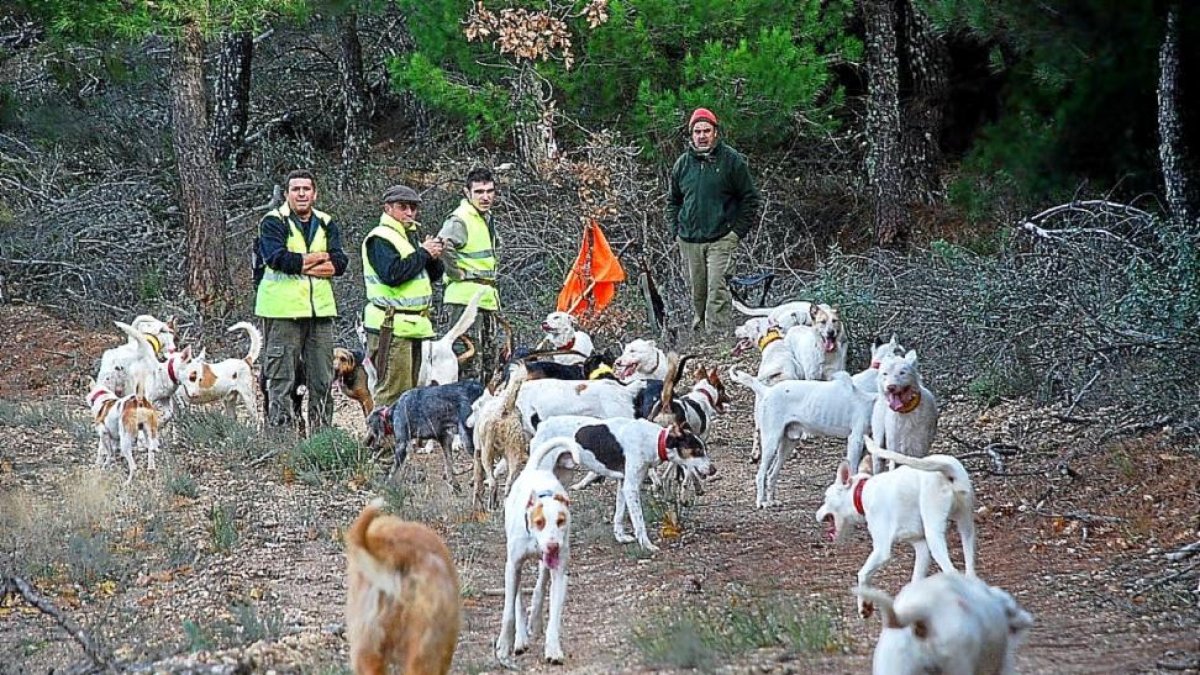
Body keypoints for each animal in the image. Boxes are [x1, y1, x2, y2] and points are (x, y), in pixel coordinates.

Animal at [496, 437, 585, 662]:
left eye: (561, 521)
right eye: (539, 522)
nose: (553, 545)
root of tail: (535, 470)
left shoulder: (559, 572)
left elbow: (554, 614)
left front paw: (553, 649)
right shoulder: (513, 566)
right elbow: (509, 611)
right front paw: (505, 644)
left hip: (546, 564)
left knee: (540, 587)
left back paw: (534, 622)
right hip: (515, 566)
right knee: (517, 599)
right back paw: (520, 638)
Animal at [532, 413, 710, 550]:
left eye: (704, 449)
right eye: (697, 451)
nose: (713, 469)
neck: (653, 440)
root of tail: (541, 425)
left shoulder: (623, 484)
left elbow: (618, 514)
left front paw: (620, 537)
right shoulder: (631, 487)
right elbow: (639, 521)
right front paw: (646, 545)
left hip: (563, 478)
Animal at [729, 362, 873, 504]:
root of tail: (767, 390)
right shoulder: (855, 441)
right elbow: (853, 470)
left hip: (787, 445)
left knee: (771, 474)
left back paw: (771, 501)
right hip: (771, 442)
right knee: (761, 473)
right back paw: (761, 502)